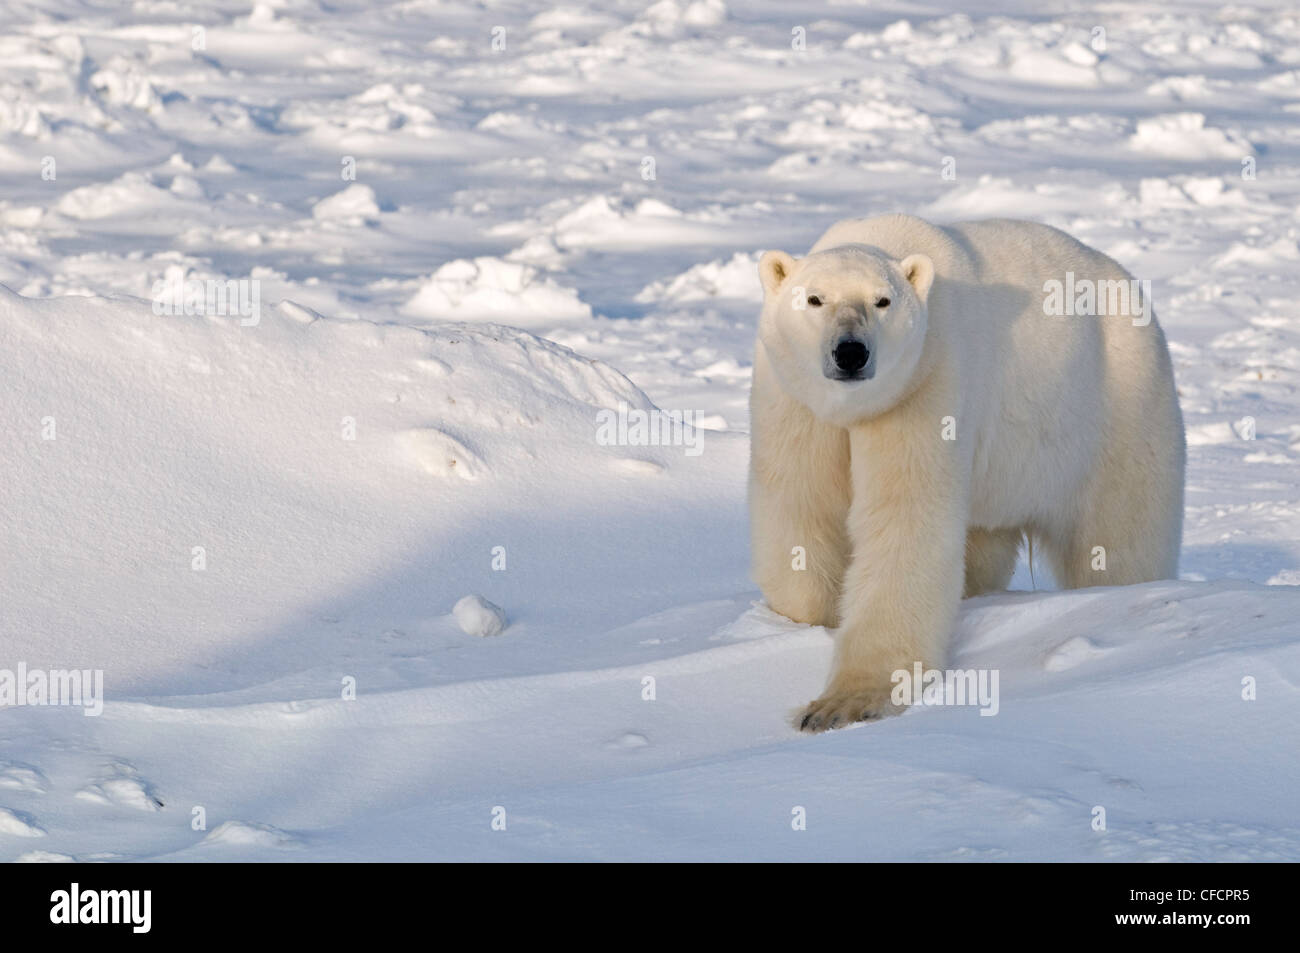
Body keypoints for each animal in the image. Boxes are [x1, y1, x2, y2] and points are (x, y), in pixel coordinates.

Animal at [754, 213, 1190, 728]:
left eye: (882, 301)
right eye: (814, 298)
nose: (851, 352)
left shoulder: (927, 385)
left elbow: (904, 525)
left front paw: (843, 703)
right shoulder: (794, 401)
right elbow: (799, 507)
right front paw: (807, 622)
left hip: (1117, 405)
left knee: (1120, 539)